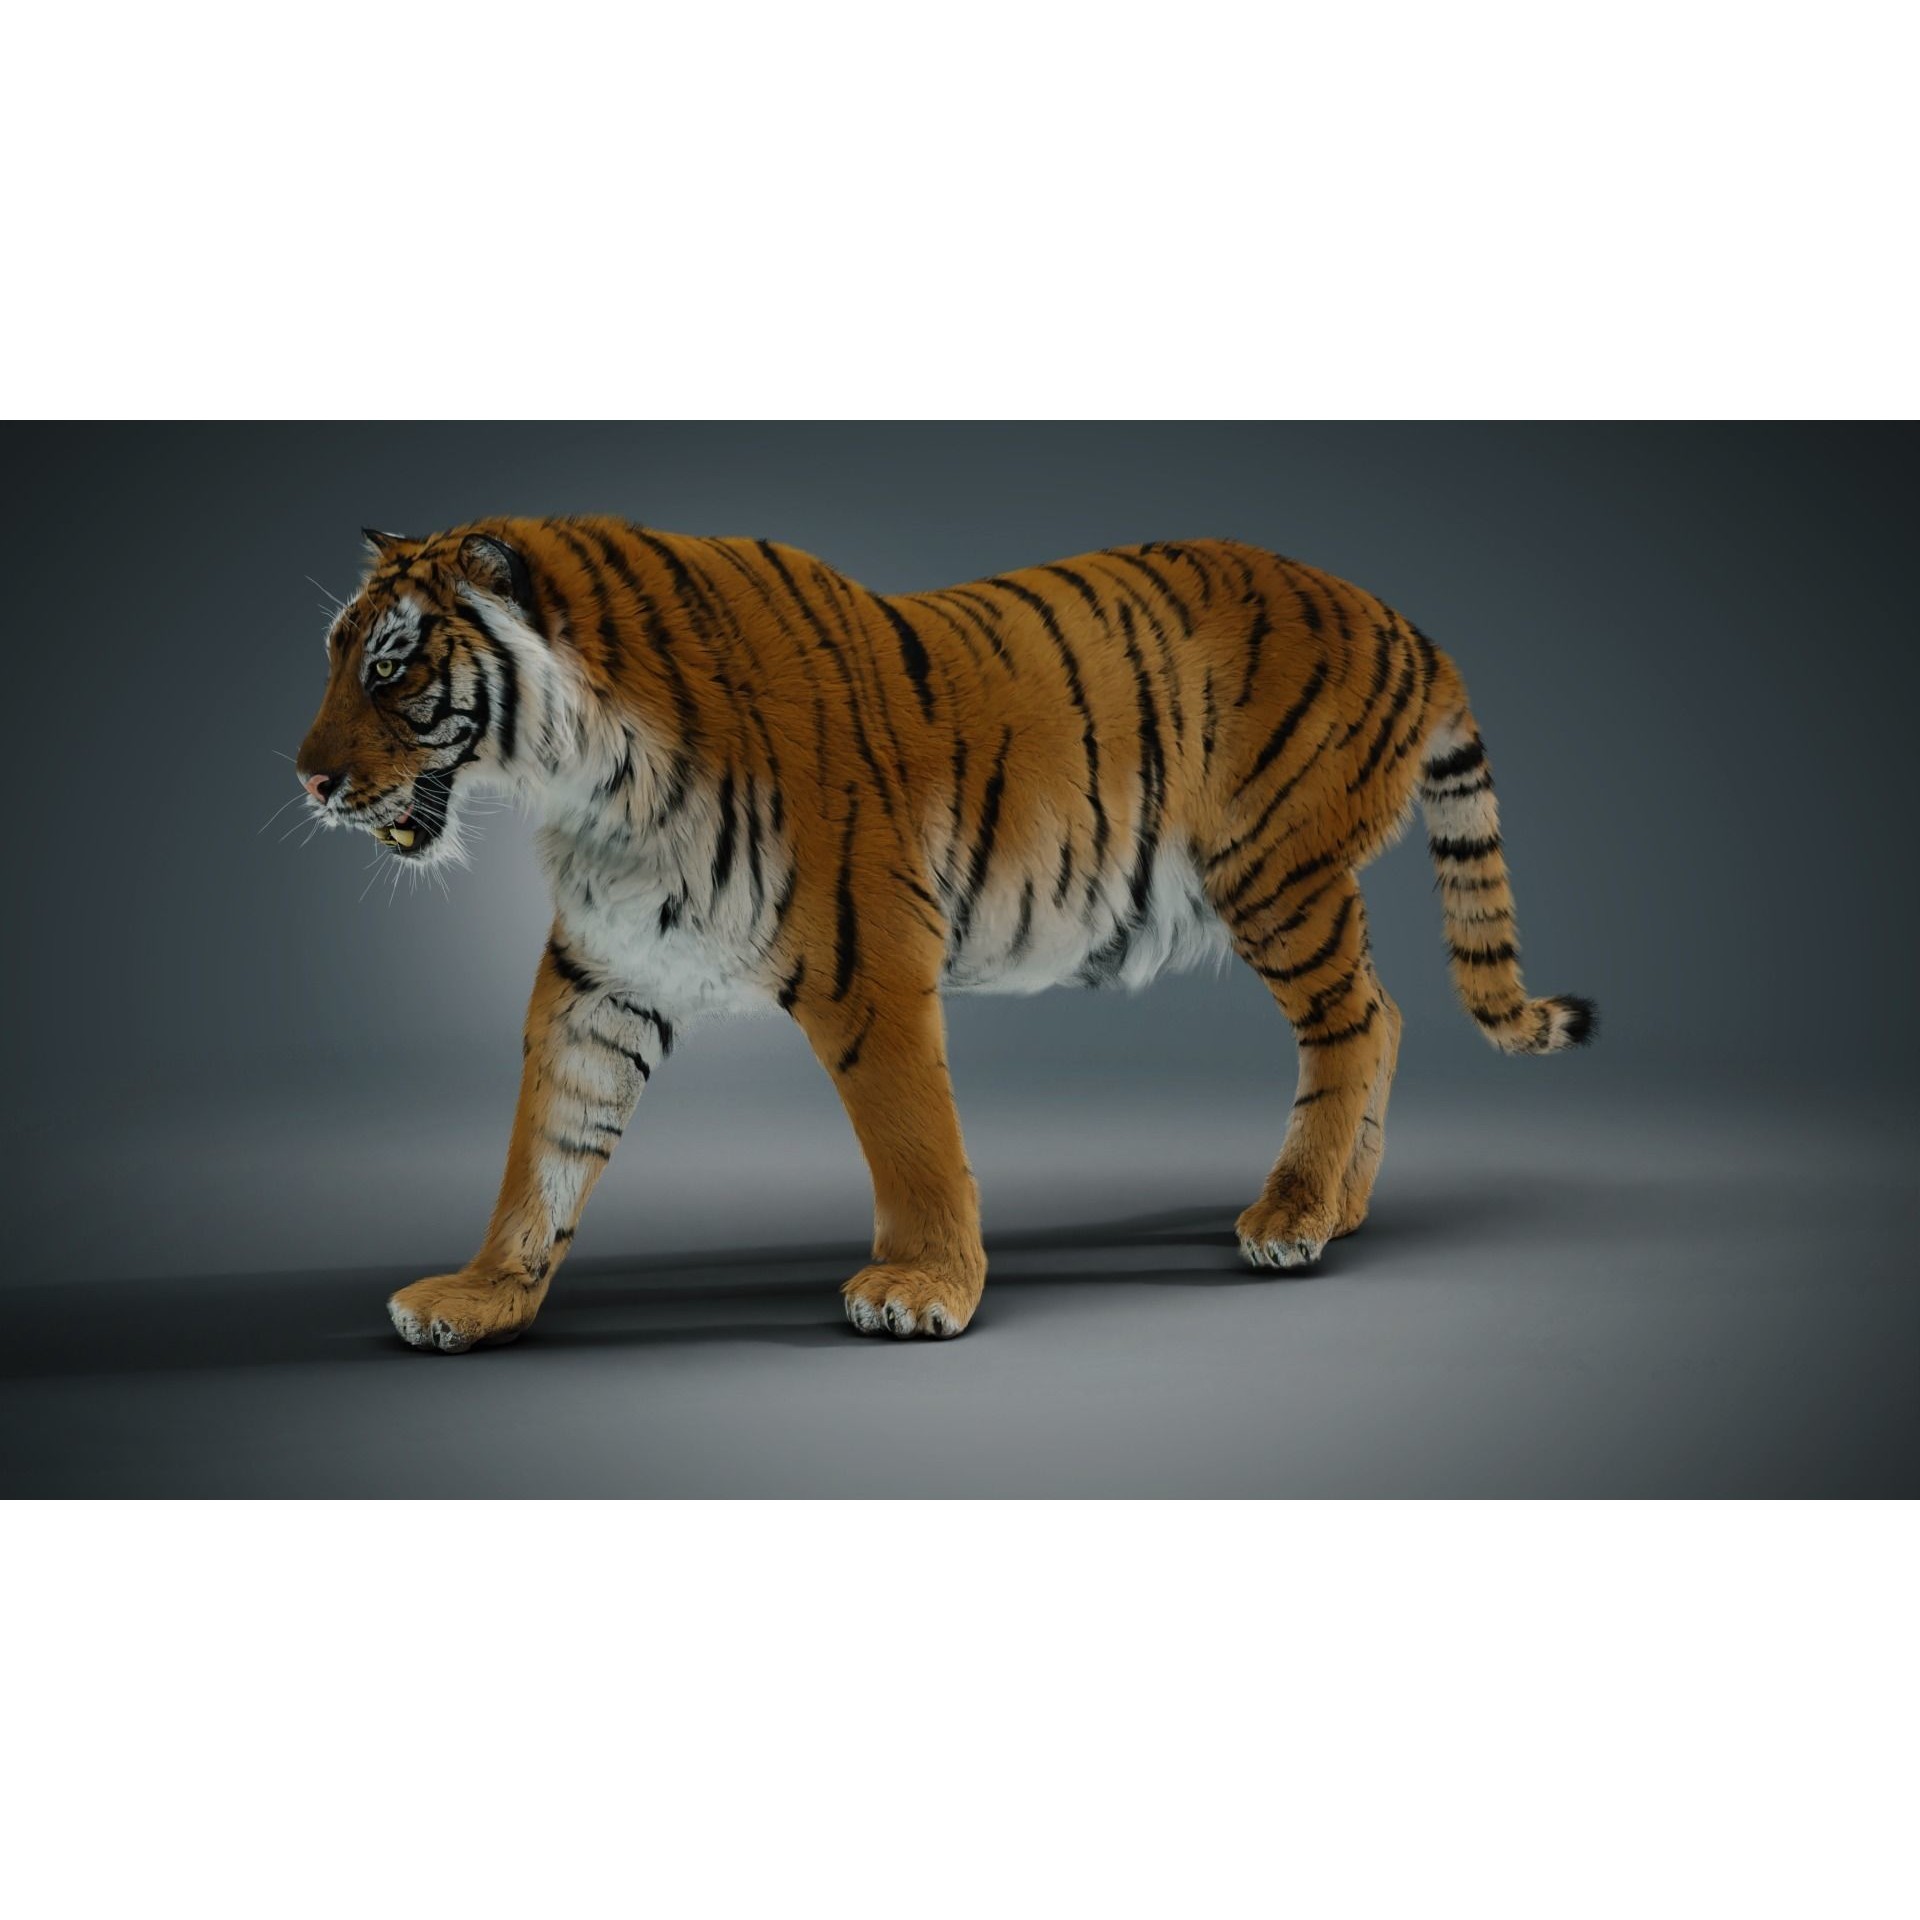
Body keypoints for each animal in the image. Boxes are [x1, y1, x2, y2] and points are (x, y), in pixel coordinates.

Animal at [295, 520, 1594, 1350]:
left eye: (392, 668)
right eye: (335, 660)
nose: (305, 778)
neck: (588, 784)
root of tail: (1408, 623)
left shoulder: (868, 958)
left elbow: (912, 1134)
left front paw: (924, 1290)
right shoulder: (600, 973)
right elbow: (547, 1143)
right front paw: (483, 1296)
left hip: (1276, 871)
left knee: (1355, 1022)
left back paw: (1294, 1215)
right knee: (1387, 1013)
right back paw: (1342, 1209)